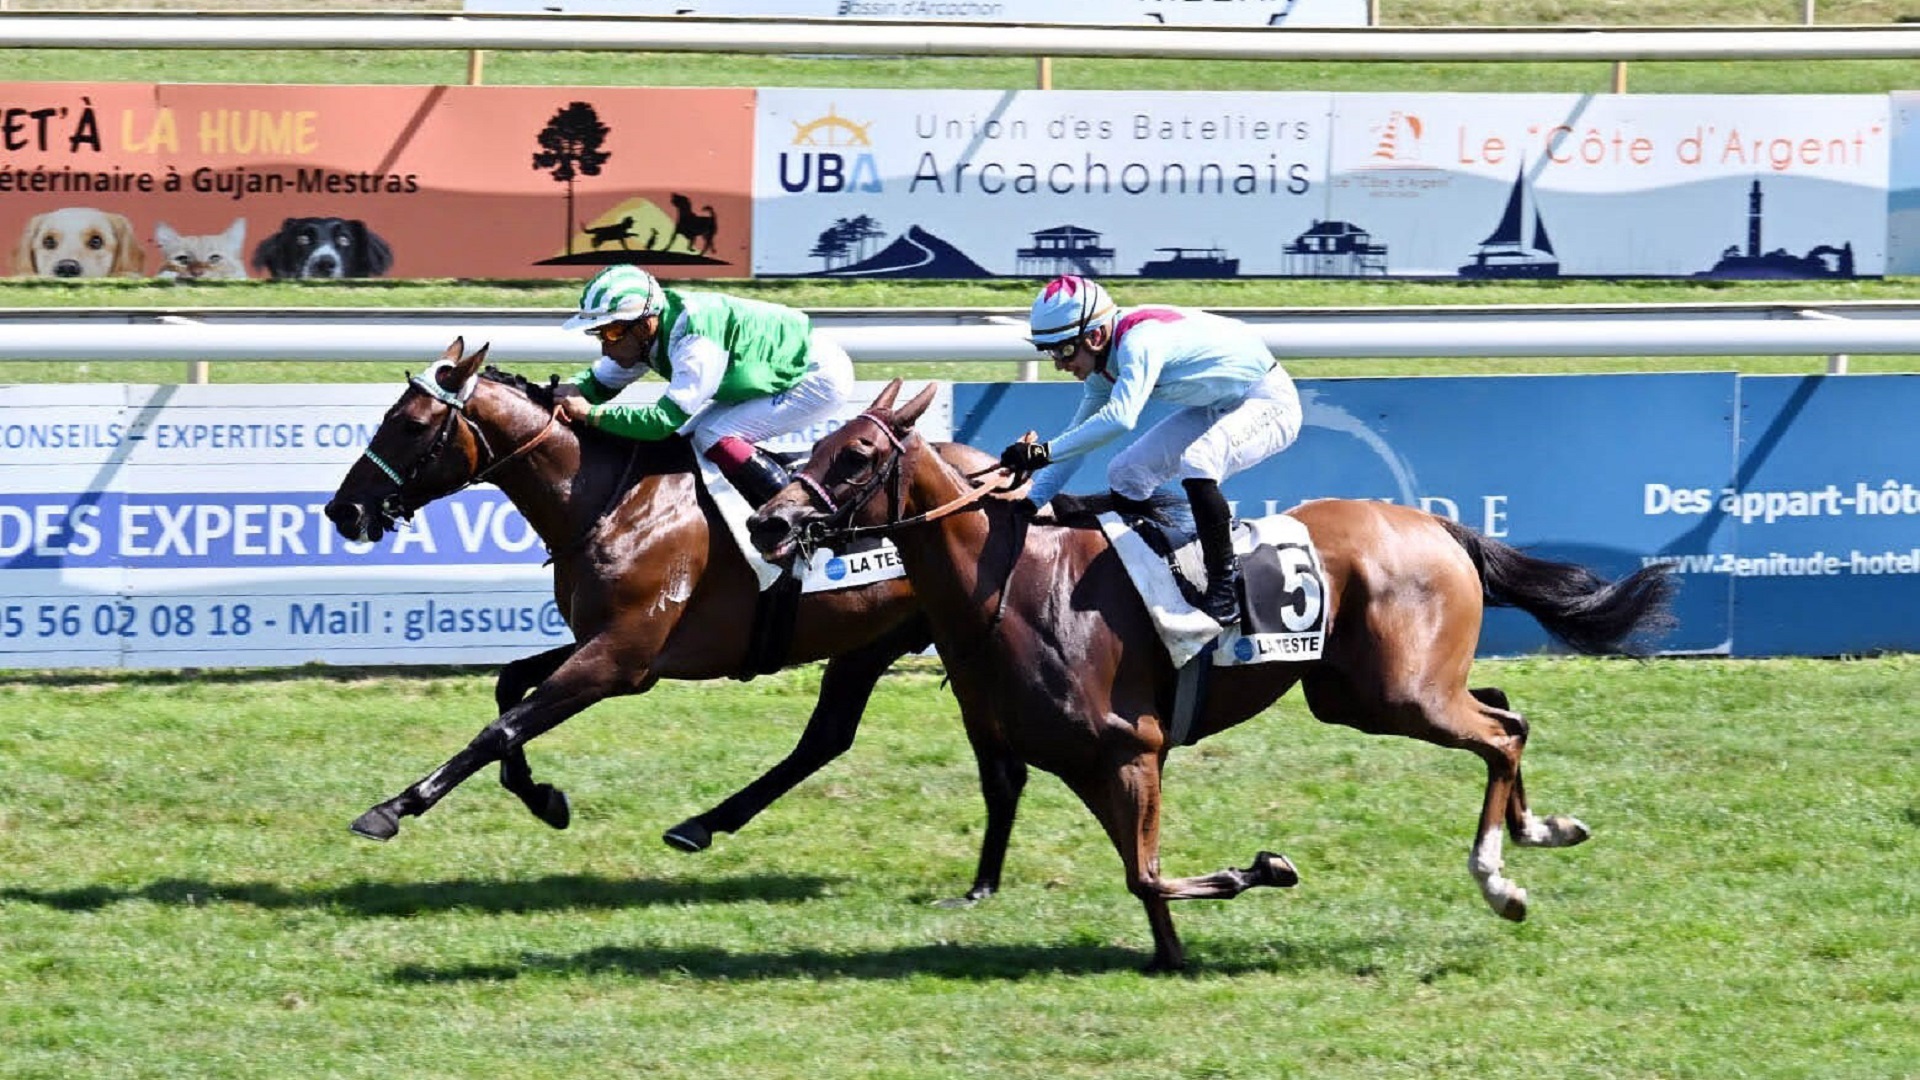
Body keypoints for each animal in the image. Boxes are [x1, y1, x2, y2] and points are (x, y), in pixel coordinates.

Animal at [323, 342, 1026, 906]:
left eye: (411, 424)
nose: (342, 509)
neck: (611, 503)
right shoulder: (604, 643)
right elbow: (508, 686)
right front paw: (542, 797)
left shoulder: (620, 658)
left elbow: (500, 727)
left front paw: (392, 807)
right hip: (870, 640)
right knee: (825, 738)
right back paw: (701, 825)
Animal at [747, 380, 1677, 971]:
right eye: (815, 445)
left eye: (855, 456)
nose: (767, 522)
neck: (1007, 585)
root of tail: (1438, 528)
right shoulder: (1083, 760)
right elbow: (1142, 873)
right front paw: (1172, 951)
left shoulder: (1132, 747)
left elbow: (1146, 870)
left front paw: (1264, 869)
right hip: (1364, 695)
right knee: (1505, 713)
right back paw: (1541, 829)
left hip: (1399, 694)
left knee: (1499, 734)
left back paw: (1500, 879)